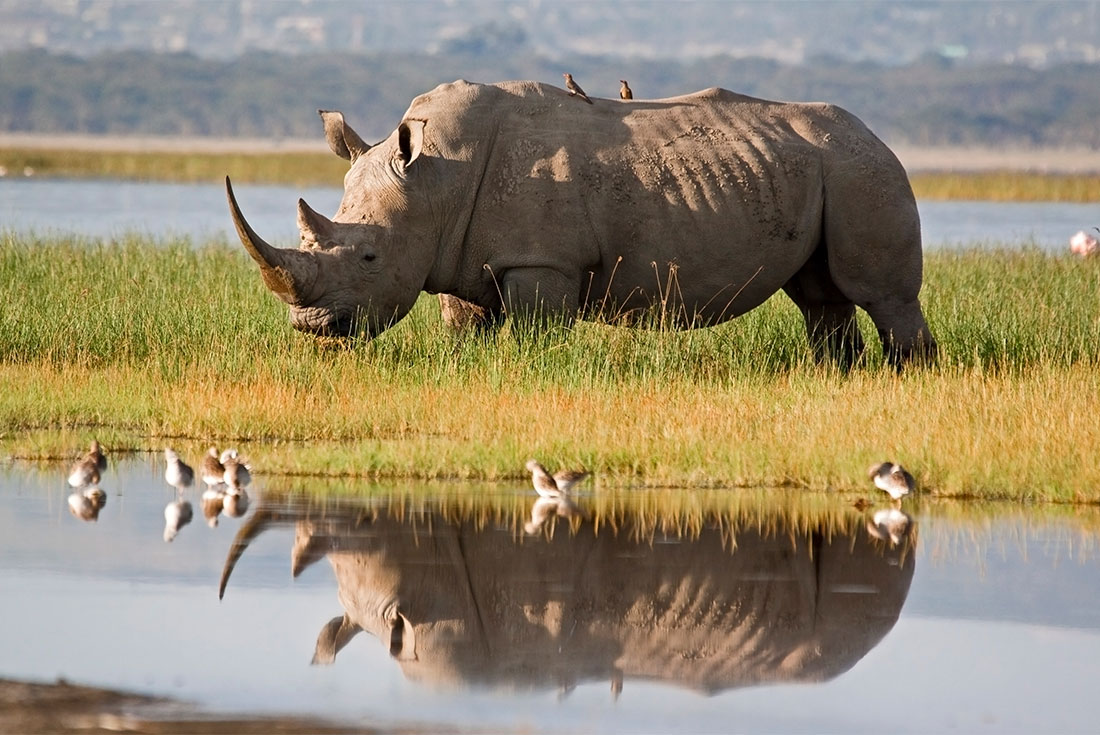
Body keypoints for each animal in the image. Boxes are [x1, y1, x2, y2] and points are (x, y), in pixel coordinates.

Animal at [227, 80, 936, 367]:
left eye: (369, 258)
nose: (313, 328)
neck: (434, 181)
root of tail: (877, 136)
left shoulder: (542, 262)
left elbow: (536, 335)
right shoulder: (456, 255)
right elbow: (465, 329)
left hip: (863, 170)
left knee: (883, 295)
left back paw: (908, 376)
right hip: (827, 169)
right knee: (821, 297)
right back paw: (837, 376)